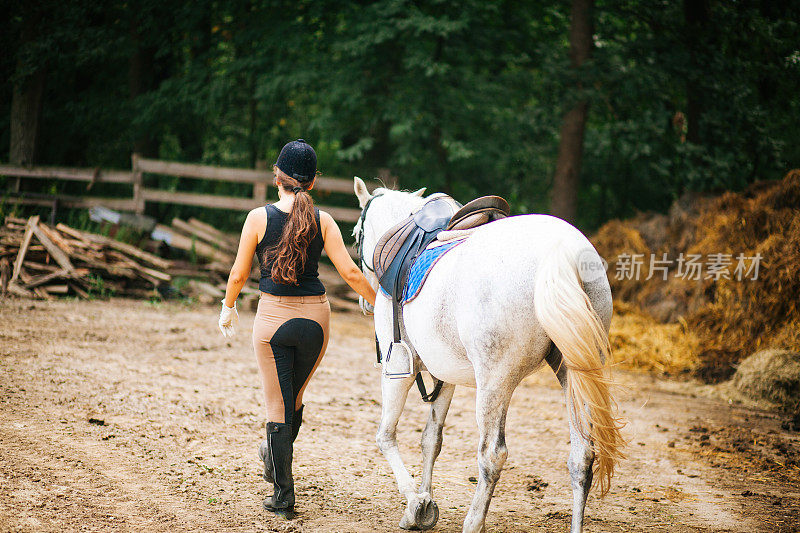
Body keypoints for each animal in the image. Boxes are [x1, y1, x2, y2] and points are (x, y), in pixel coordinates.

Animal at [354, 180, 624, 532]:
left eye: (355, 234)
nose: (365, 301)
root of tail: (559, 253)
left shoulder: (399, 366)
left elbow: (386, 436)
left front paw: (415, 504)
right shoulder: (445, 375)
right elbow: (431, 439)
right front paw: (426, 500)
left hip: (495, 383)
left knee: (492, 456)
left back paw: (473, 522)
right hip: (575, 374)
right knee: (582, 456)